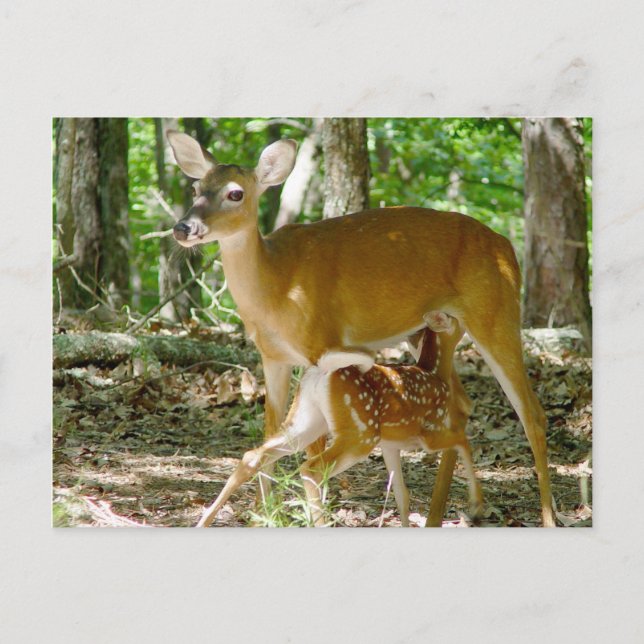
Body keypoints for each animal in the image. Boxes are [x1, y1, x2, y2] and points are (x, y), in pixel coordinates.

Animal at [197, 313, 482, 527]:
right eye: (456, 318)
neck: (434, 373)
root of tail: (321, 371)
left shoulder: (390, 444)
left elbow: (402, 494)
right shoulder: (428, 432)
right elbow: (463, 441)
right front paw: (476, 504)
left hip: (306, 420)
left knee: (254, 455)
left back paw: (204, 520)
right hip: (360, 433)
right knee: (311, 468)